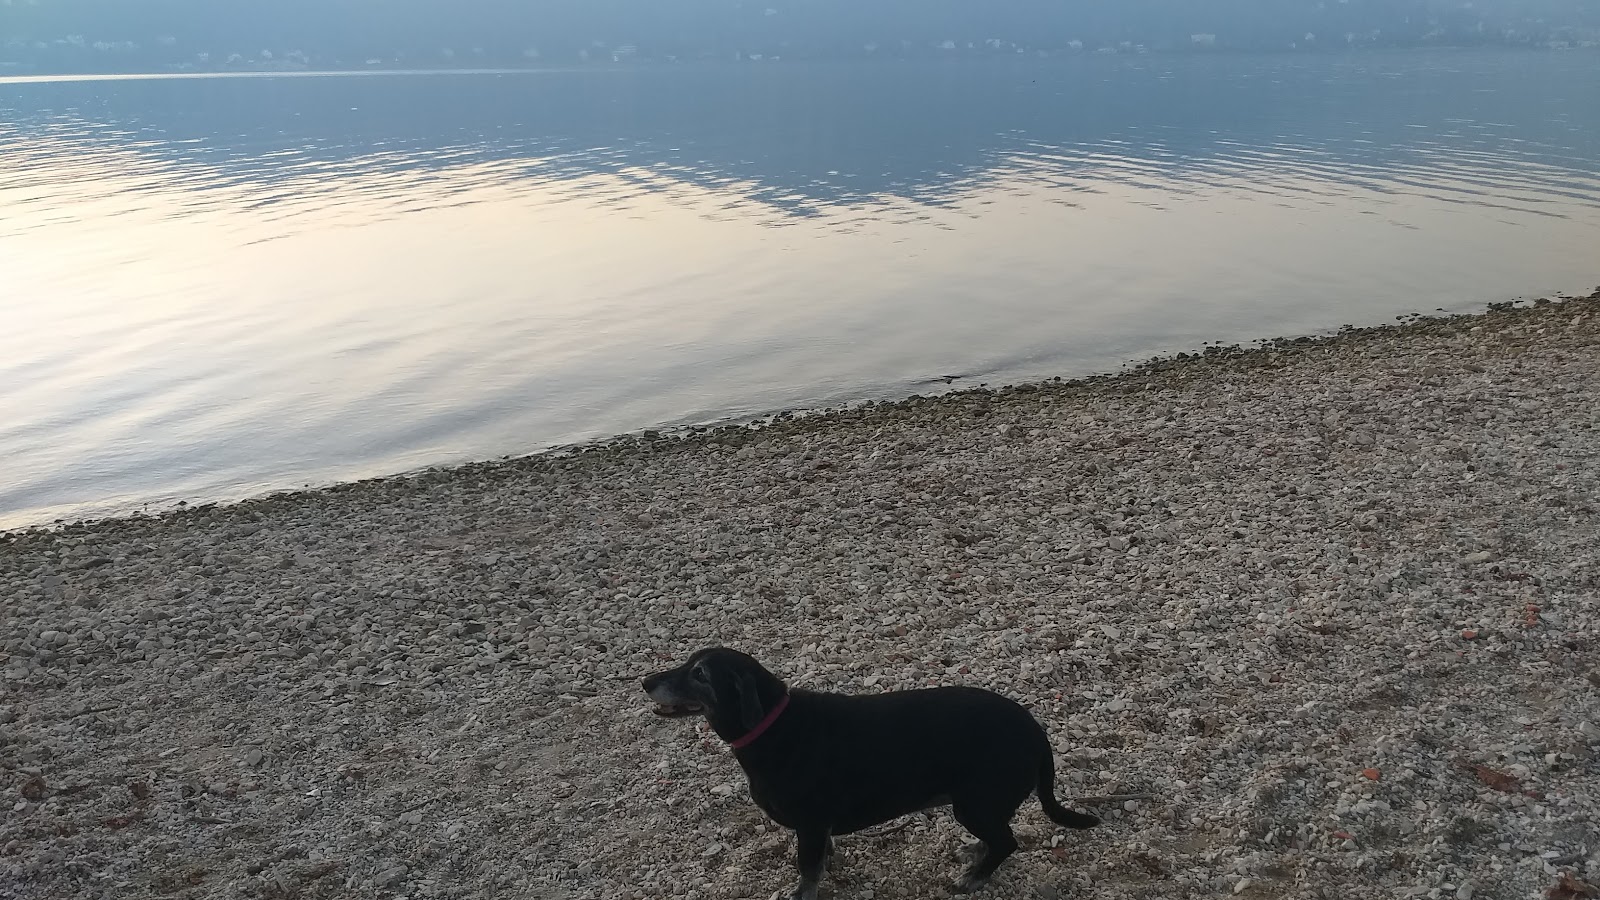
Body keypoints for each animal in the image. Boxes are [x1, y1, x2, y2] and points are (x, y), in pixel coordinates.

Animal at [640, 646, 1100, 890]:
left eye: (700, 674)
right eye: (688, 663)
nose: (644, 681)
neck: (774, 726)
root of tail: (1036, 732)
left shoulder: (810, 825)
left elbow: (808, 874)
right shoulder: (817, 829)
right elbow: (821, 859)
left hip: (976, 803)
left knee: (1007, 842)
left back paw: (975, 876)